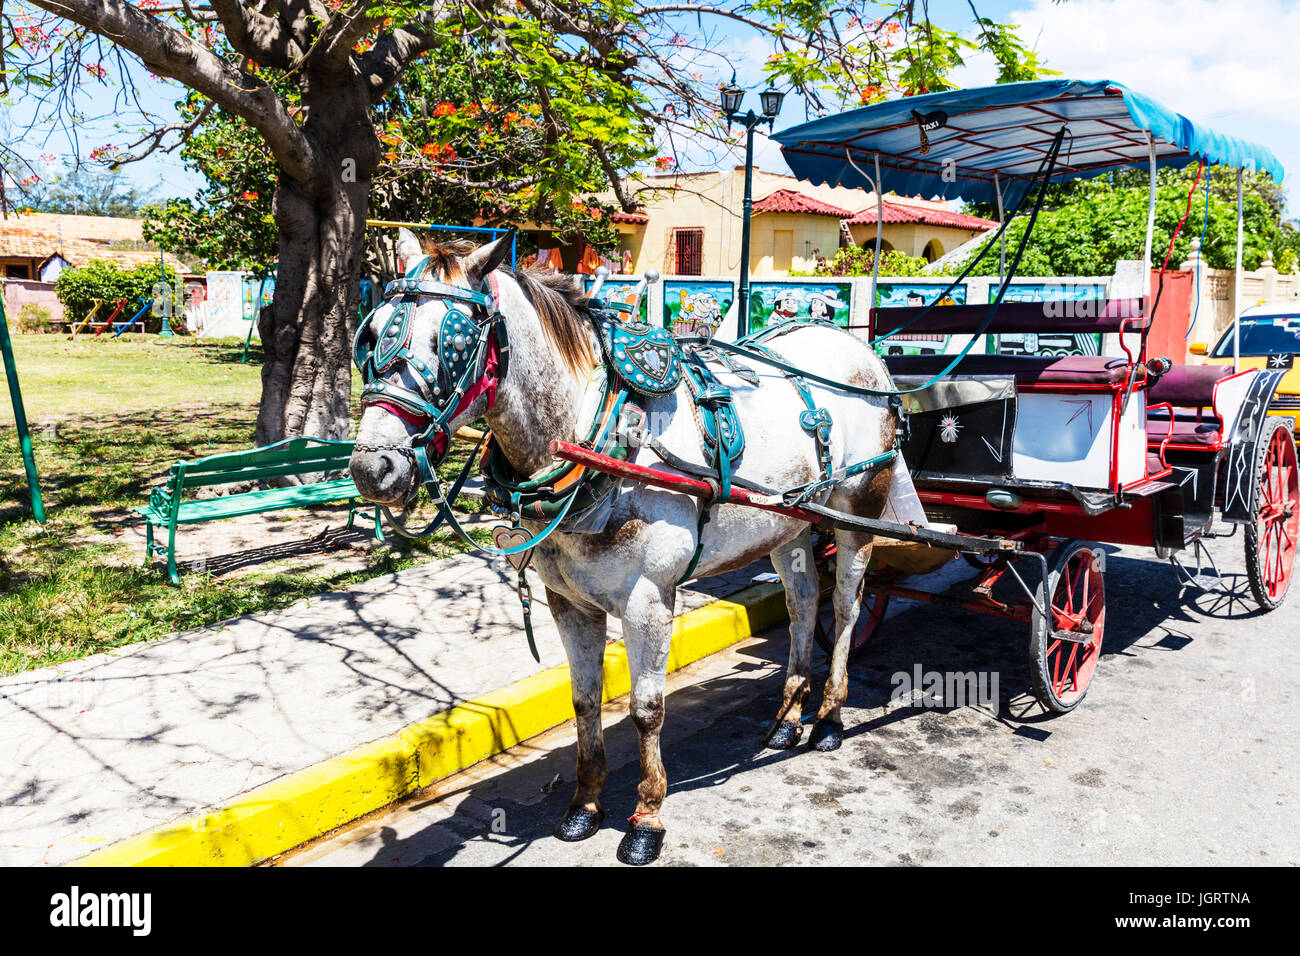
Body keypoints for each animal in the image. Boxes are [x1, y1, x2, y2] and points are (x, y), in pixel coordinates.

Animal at [349, 234, 901, 865]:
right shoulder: (566, 600)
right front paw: (584, 805)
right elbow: (585, 701)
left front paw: (647, 818)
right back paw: (788, 716)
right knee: (804, 603)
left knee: (846, 605)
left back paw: (830, 717)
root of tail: (858, 346)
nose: (372, 468)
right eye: (370, 333)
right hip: (790, 522)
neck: (595, 433)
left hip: (858, 512)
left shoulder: (649, 598)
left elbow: (645, 709)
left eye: (451, 341)